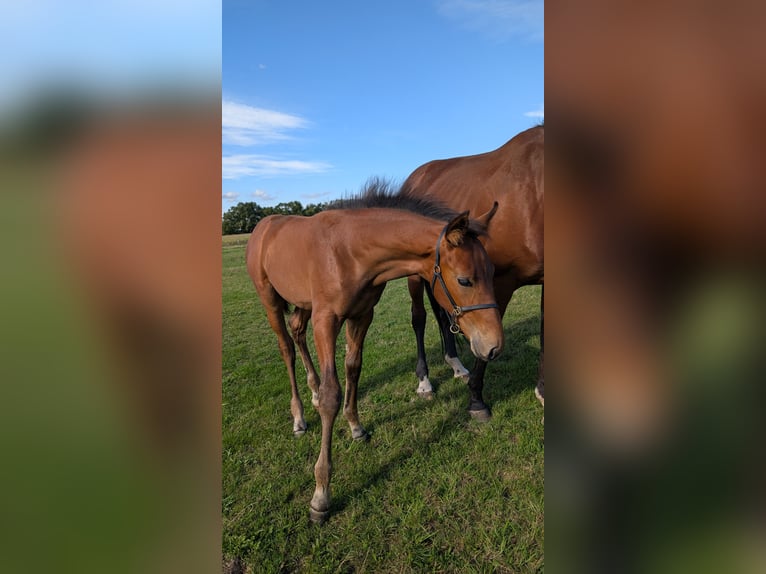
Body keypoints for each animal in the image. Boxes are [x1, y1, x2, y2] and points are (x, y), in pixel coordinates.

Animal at [245, 181, 503, 523]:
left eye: (492, 271)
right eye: (464, 279)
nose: (493, 346)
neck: (348, 252)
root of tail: (264, 225)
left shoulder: (362, 315)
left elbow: (353, 367)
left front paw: (355, 426)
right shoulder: (326, 320)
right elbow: (331, 394)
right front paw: (321, 495)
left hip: (302, 303)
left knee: (297, 331)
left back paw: (311, 392)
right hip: (269, 299)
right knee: (286, 347)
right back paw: (299, 416)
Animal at [401, 126, 544, 420]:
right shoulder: (499, 283)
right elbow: (485, 341)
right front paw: (476, 400)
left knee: (444, 315)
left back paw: (456, 364)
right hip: (415, 278)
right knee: (419, 318)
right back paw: (424, 381)